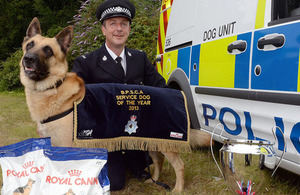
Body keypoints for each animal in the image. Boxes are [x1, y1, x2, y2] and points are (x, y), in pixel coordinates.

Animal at [20, 17, 211, 193]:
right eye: (29, 45)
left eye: (48, 50)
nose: (28, 59)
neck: (53, 88)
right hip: (153, 141)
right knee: (158, 160)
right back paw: (154, 180)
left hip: (165, 143)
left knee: (179, 165)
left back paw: (177, 189)